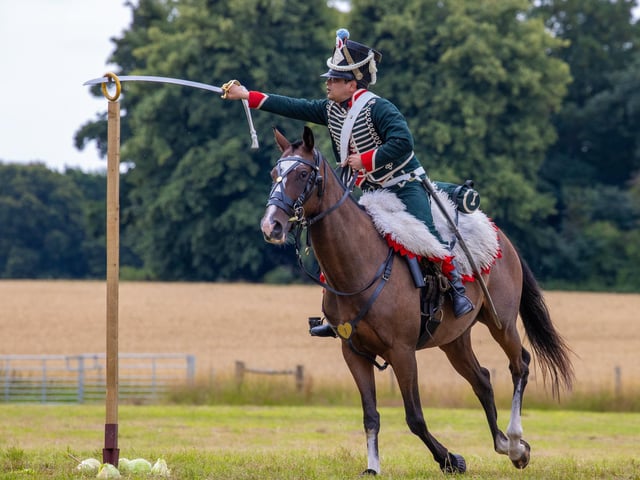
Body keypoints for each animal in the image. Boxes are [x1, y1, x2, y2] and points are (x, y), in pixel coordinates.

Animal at [260, 126, 574, 475]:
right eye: (274, 173)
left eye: (303, 173)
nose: (271, 225)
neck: (361, 265)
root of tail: (500, 236)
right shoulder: (354, 353)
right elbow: (371, 415)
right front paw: (373, 467)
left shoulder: (402, 353)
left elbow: (415, 418)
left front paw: (451, 459)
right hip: (454, 340)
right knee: (482, 380)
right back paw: (503, 443)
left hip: (501, 323)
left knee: (519, 364)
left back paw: (517, 444)